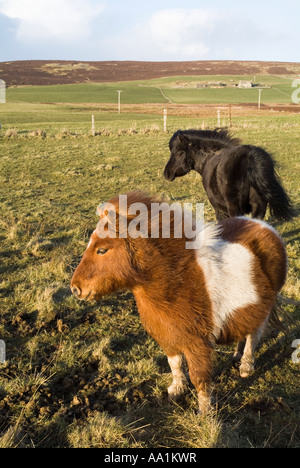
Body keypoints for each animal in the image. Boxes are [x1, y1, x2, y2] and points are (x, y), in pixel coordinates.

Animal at [69, 192, 286, 412]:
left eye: (102, 250)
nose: (75, 288)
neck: (176, 282)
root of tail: (263, 225)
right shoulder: (167, 337)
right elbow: (174, 364)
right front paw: (177, 389)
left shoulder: (197, 344)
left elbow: (199, 378)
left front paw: (205, 412)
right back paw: (236, 354)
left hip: (263, 309)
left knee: (254, 335)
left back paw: (245, 365)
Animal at [163, 129, 292, 222]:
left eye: (179, 152)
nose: (166, 173)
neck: (210, 158)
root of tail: (248, 158)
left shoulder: (220, 211)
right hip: (259, 209)